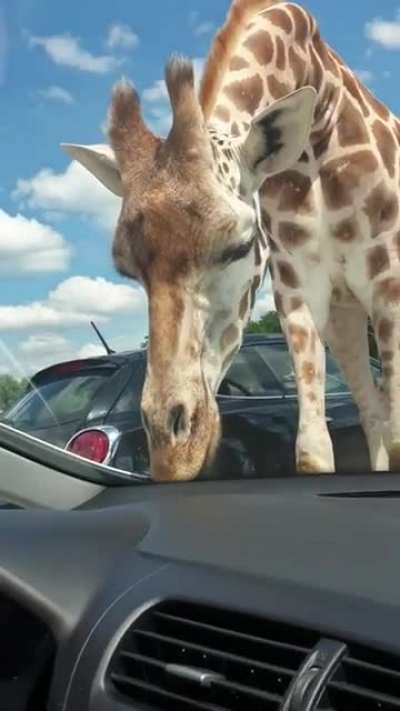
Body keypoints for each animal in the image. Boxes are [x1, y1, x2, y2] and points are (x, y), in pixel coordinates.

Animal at [61, 0, 400, 481]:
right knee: (372, 414)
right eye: (128, 269)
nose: (173, 453)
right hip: (345, 316)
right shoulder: (299, 290)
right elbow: (314, 450)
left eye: (239, 245)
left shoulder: (388, 280)